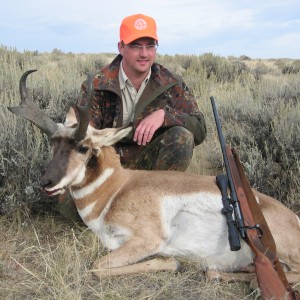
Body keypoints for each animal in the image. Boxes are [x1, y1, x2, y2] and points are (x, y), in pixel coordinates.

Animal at [8, 69, 300, 284]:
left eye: (83, 147)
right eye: (52, 143)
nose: (46, 183)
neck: (116, 189)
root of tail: (293, 218)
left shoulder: (147, 239)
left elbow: (97, 266)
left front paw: (172, 263)